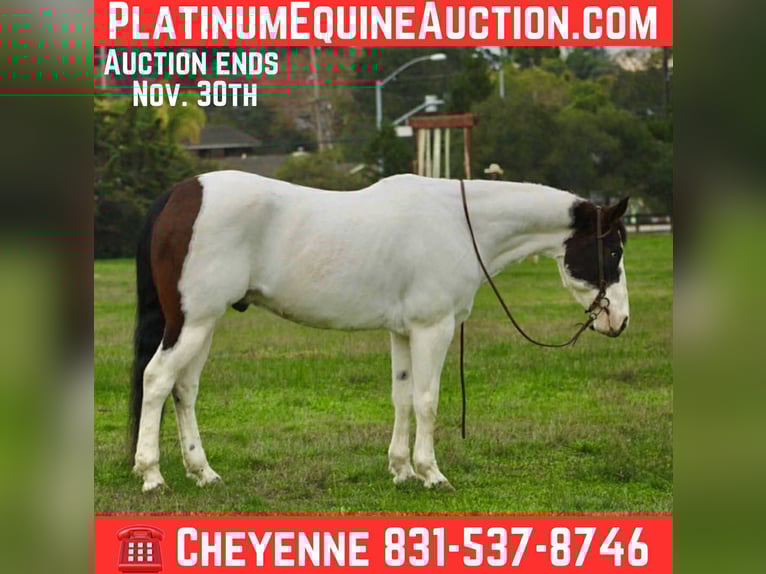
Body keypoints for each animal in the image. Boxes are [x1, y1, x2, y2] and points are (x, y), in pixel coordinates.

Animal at [129, 171, 630, 493]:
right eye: (613, 250)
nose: (620, 320)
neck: (458, 224)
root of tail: (180, 194)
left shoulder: (403, 332)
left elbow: (402, 397)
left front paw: (401, 469)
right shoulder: (433, 328)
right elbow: (427, 400)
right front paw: (431, 473)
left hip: (203, 324)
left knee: (184, 389)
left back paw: (203, 472)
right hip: (192, 323)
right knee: (157, 380)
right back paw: (152, 474)